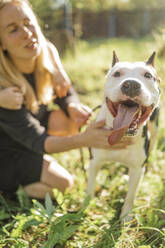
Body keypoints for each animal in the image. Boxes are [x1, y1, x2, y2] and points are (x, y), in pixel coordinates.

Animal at [87, 51, 160, 221]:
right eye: (117, 74)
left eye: (148, 75)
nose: (131, 84)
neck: (121, 135)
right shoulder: (94, 162)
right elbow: (90, 187)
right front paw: (83, 209)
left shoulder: (137, 168)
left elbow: (131, 195)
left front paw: (125, 217)